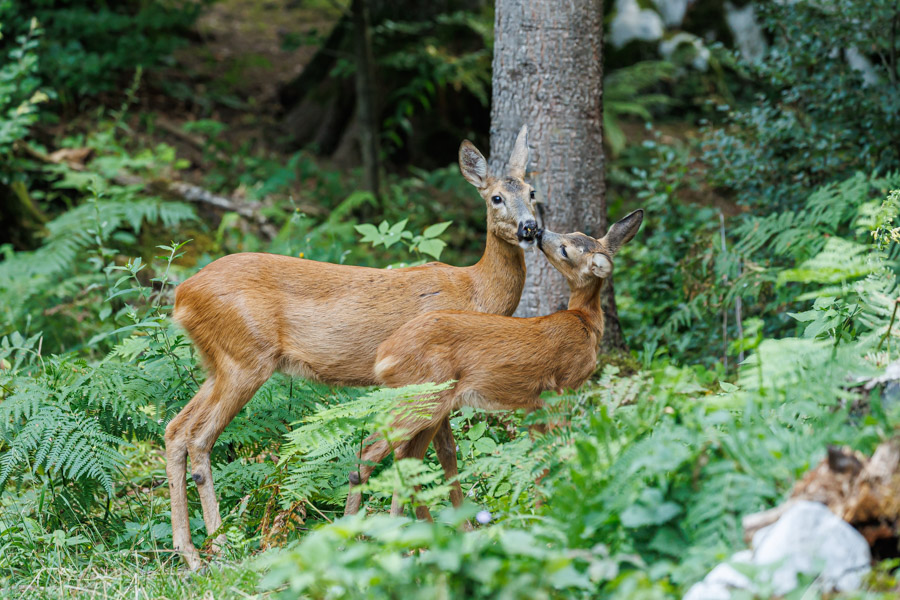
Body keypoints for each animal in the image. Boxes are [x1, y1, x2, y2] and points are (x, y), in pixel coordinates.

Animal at [165, 125, 536, 568]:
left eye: (532, 192)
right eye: (496, 197)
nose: (530, 228)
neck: (477, 293)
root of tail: (182, 294)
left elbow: (445, 454)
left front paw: (458, 532)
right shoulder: (431, 378)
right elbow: (429, 455)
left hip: (217, 362)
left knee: (175, 429)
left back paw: (188, 550)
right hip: (245, 359)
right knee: (199, 437)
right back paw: (217, 548)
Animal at [342, 211, 644, 520]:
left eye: (567, 247)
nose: (538, 232)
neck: (585, 322)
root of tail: (383, 355)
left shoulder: (535, 403)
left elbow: (541, 462)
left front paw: (539, 515)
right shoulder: (563, 388)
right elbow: (564, 449)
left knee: (402, 458)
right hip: (424, 395)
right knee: (370, 452)